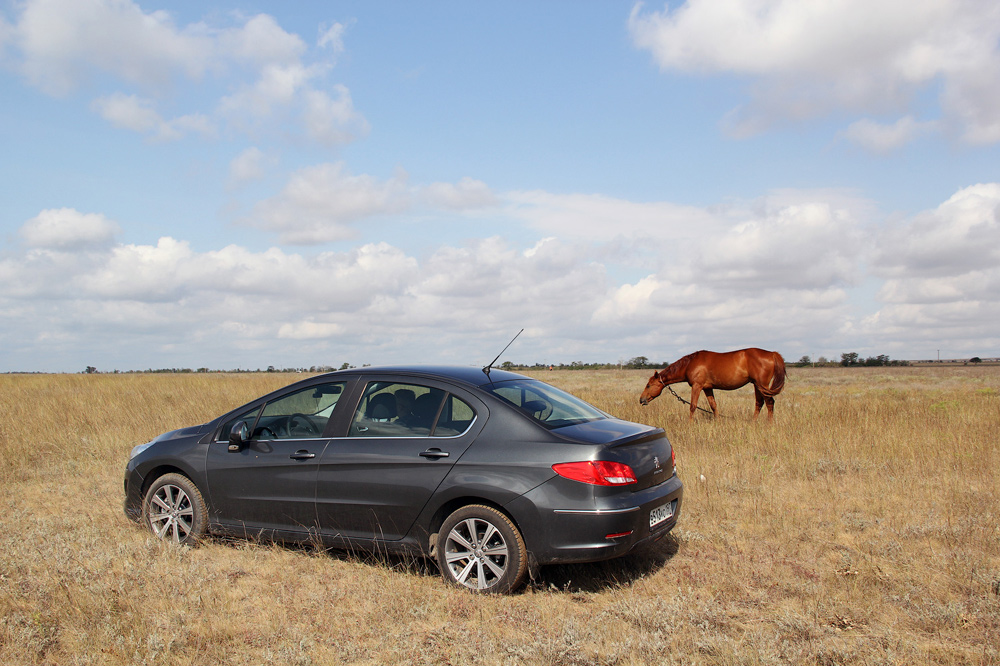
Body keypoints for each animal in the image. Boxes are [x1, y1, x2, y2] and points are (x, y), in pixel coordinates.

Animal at [640, 350, 788, 418]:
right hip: (757, 385)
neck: (690, 364)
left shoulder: (697, 386)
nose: (641, 400)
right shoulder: (707, 388)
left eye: (648, 385)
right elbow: (714, 406)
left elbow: (693, 406)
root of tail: (772, 354)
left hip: (762, 385)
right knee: (759, 403)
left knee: (769, 403)